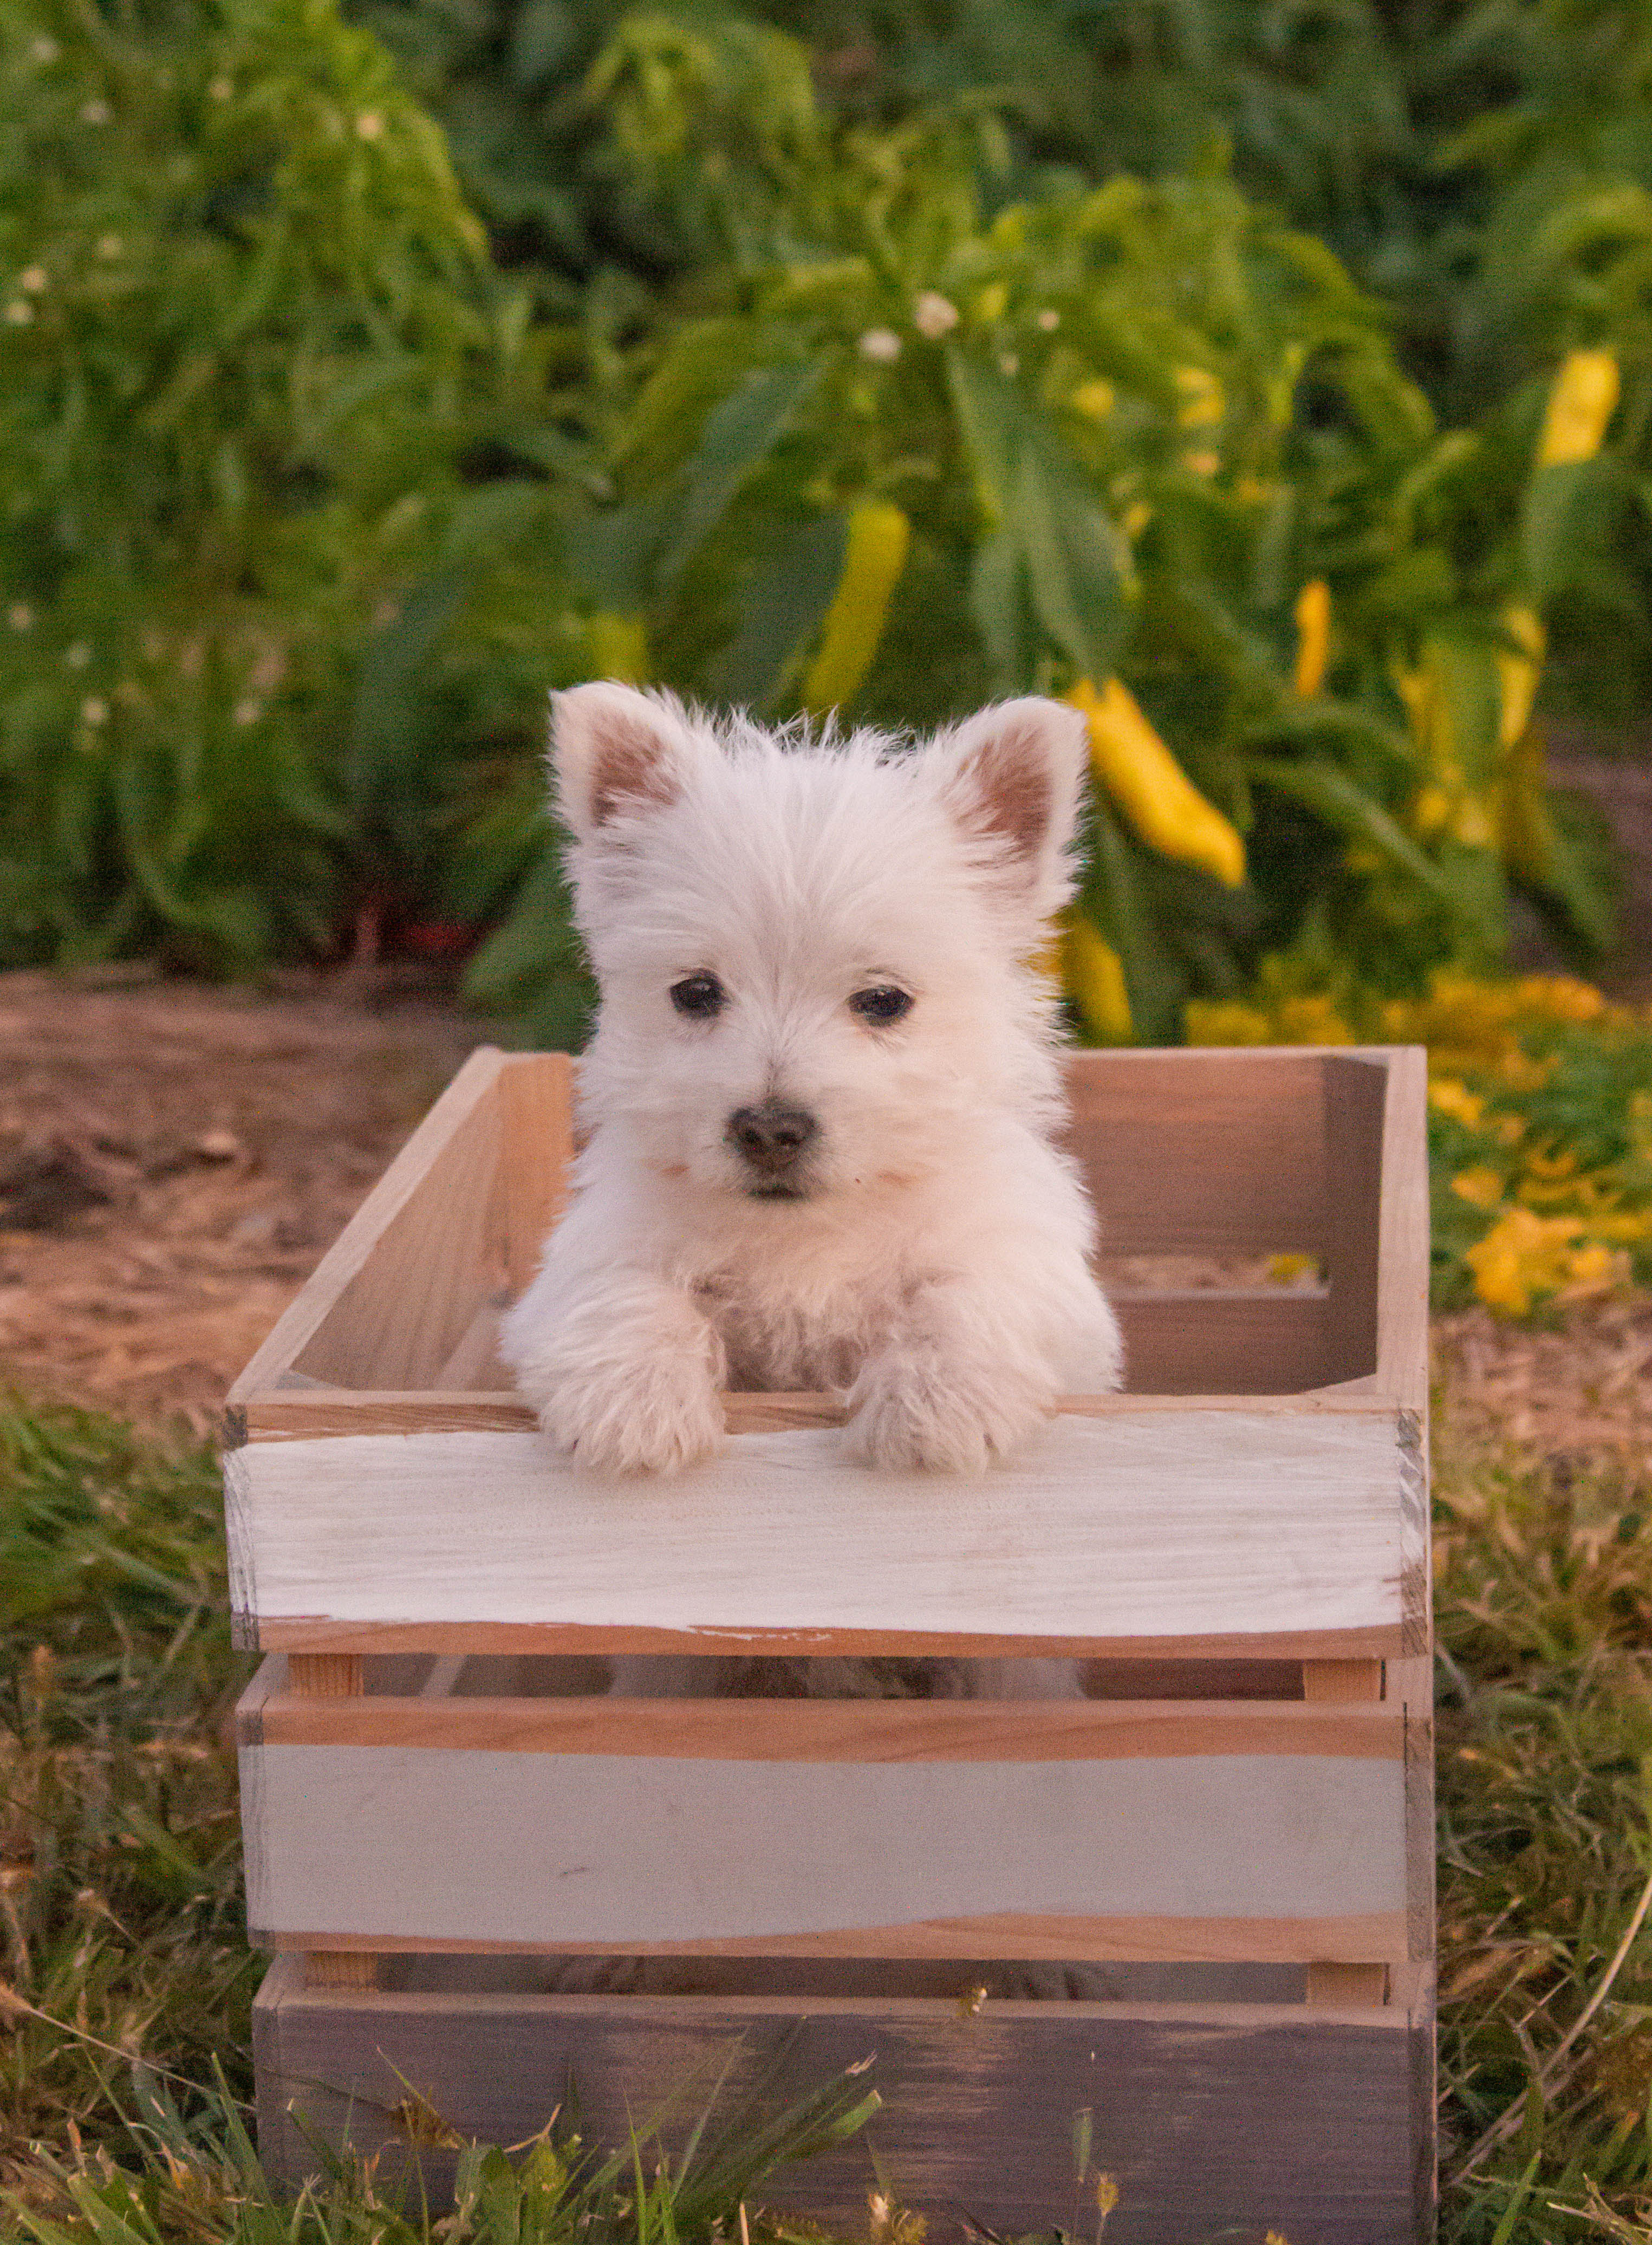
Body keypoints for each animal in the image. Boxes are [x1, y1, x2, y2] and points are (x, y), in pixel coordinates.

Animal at [503, 678, 1122, 1491]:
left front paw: (935, 1404)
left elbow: (971, 1291)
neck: (804, 1236)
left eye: (883, 1000)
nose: (769, 1129)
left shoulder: (1029, 1260)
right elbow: (624, 1288)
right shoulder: (593, 1248)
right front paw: (634, 1403)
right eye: (695, 993)